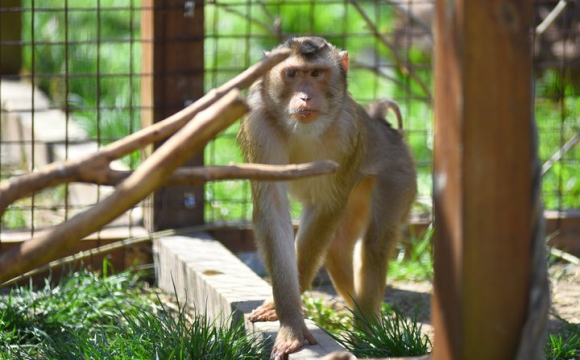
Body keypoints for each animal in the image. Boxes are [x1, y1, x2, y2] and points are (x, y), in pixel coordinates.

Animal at [237, 37, 416, 360]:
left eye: (317, 74)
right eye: (292, 74)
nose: (306, 97)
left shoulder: (346, 133)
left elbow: (327, 205)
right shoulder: (257, 127)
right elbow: (273, 210)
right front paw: (290, 319)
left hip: (399, 175)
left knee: (374, 245)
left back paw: (368, 330)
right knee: (337, 248)